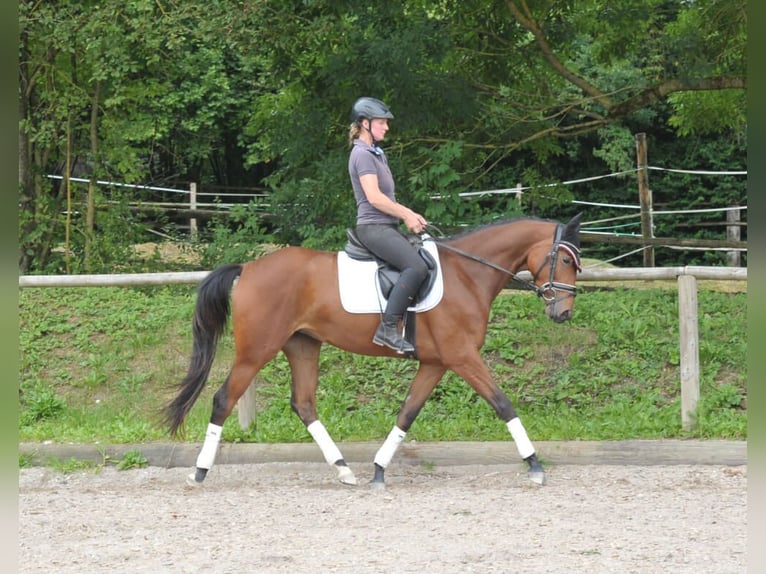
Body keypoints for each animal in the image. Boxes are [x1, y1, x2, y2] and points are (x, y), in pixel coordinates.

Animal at [162, 214, 584, 488]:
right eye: (564, 259)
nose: (563, 313)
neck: (468, 274)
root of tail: (248, 267)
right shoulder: (463, 357)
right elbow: (503, 404)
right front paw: (535, 465)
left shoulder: (436, 363)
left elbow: (407, 413)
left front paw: (379, 470)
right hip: (256, 350)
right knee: (224, 399)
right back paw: (199, 472)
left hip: (302, 345)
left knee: (304, 404)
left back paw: (344, 470)